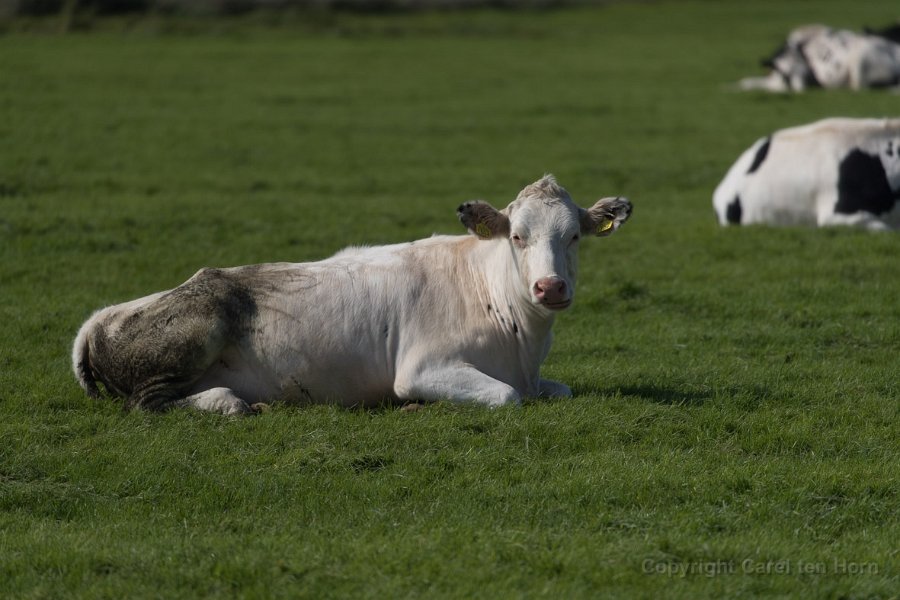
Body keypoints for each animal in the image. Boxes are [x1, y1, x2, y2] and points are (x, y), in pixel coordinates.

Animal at [72, 176, 632, 414]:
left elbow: (560, 390)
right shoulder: (422, 369)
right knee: (146, 404)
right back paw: (227, 402)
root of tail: (103, 316)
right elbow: (507, 396)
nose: (550, 286)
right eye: (517, 235)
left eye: (574, 236)